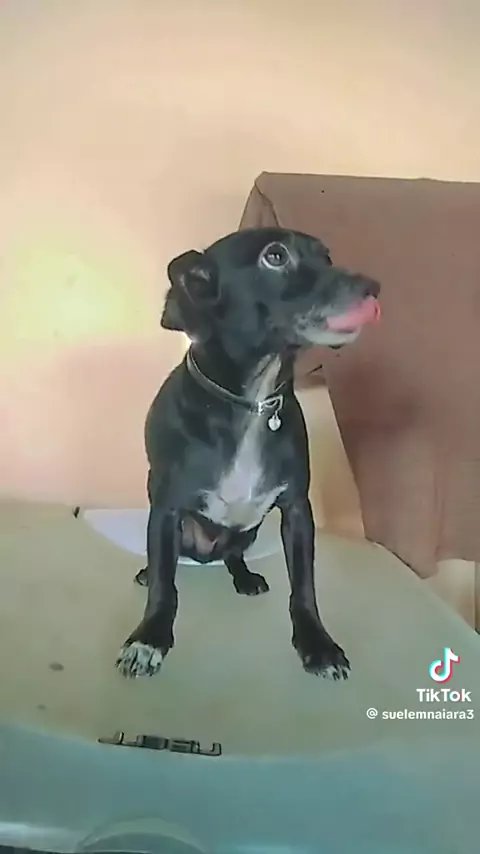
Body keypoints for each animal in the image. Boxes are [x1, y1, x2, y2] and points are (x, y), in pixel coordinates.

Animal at [116, 227, 380, 680]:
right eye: (275, 257)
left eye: (327, 256)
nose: (374, 288)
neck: (254, 402)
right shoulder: (166, 510)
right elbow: (166, 586)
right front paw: (150, 639)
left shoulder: (297, 512)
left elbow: (304, 587)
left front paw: (317, 644)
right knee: (169, 564)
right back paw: (150, 571)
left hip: (248, 532)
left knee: (233, 555)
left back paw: (244, 577)